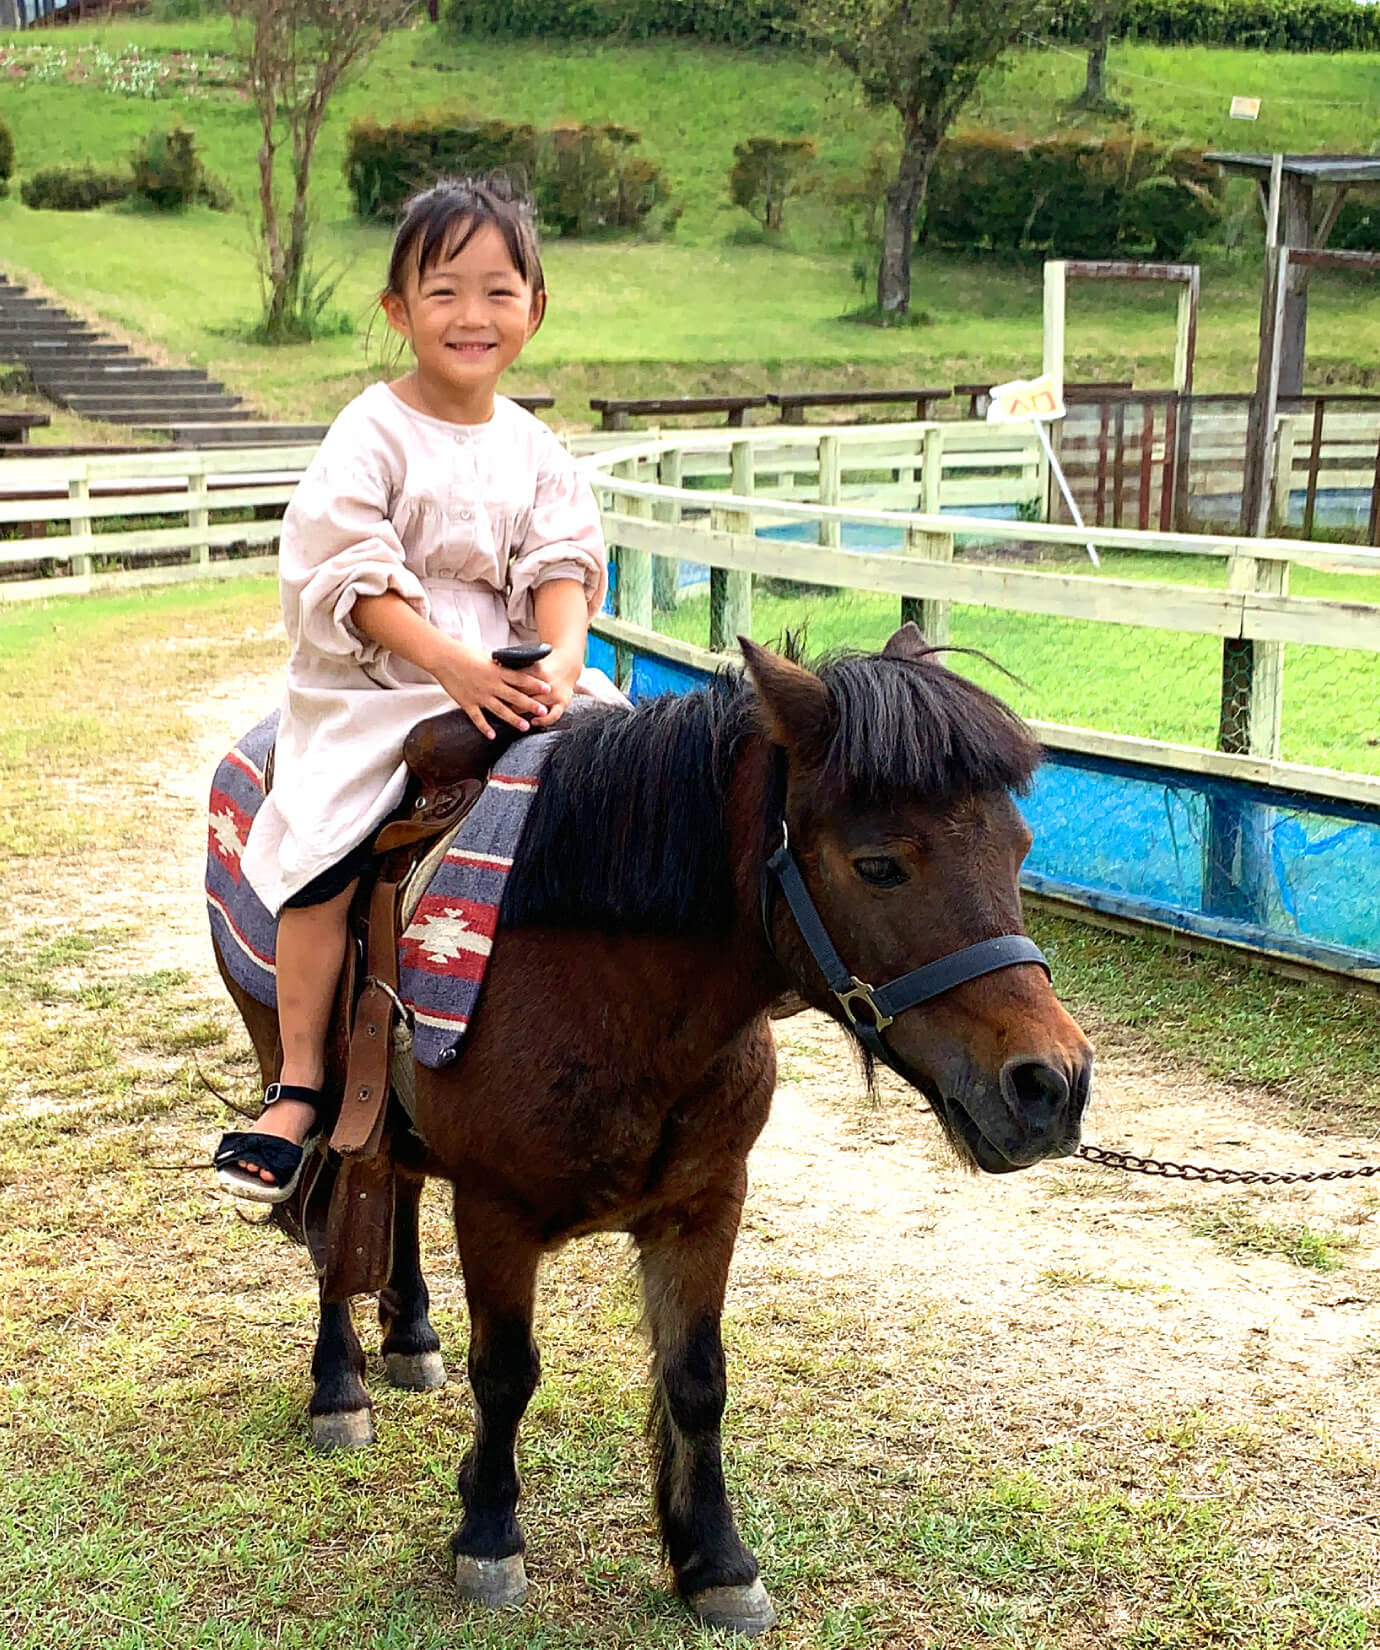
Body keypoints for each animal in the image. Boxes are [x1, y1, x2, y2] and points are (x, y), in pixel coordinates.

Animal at [215, 624, 1094, 1635]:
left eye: (1020, 847)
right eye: (880, 863)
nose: (1051, 1085)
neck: (607, 980)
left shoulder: (705, 1204)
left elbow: (697, 1378)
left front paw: (714, 1558)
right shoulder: (496, 1213)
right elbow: (505, 1372)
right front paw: (488, 1536)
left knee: (387, 1184)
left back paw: (409, 1333)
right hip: (296, 1062)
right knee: (328, 1224)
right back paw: (339, 1383)